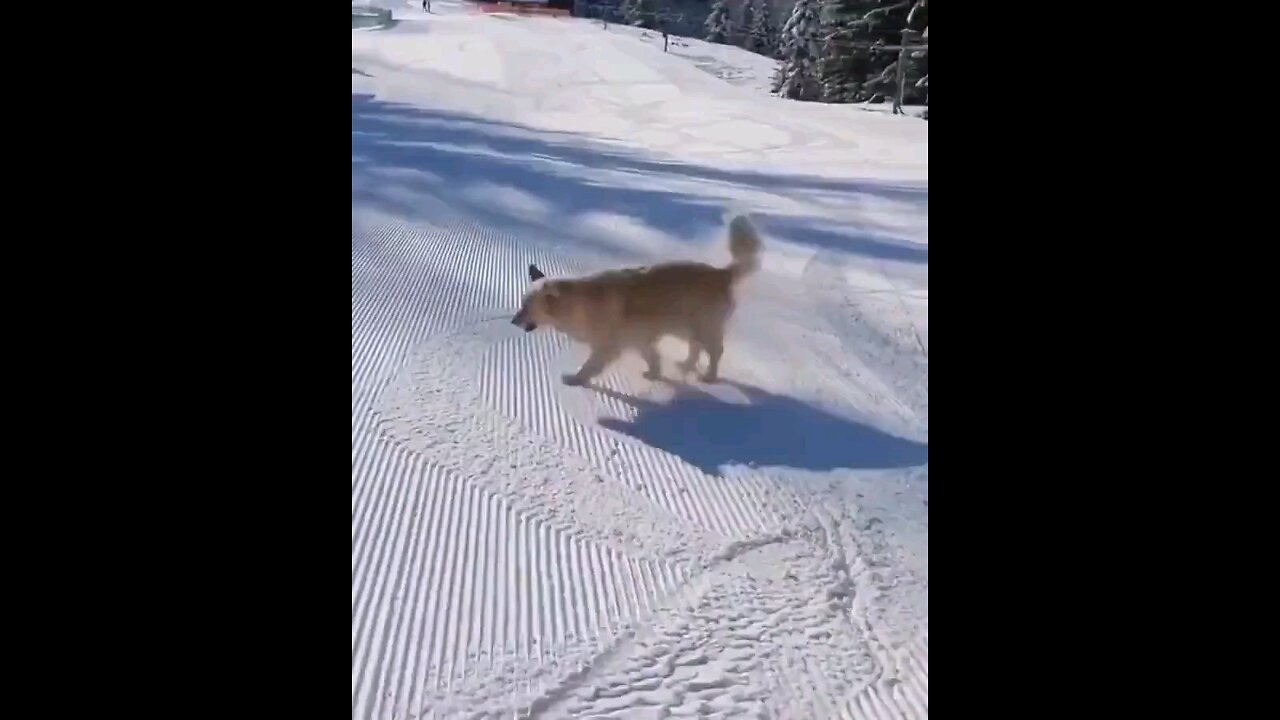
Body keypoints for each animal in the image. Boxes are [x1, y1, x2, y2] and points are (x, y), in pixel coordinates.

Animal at [509, 212, 762, 384]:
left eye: (527, 307)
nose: (512, 321)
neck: (578, 304)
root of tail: (723, 273)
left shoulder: (607, 347)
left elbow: (590, 367)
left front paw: (575, 380)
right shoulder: (640, 340)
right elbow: (653, 358)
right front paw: (654, 374)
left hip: (704, 327)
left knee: (715, 352)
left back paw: (709, 376)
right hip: (687, 327)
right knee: (695, 348)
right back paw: (686, 365)